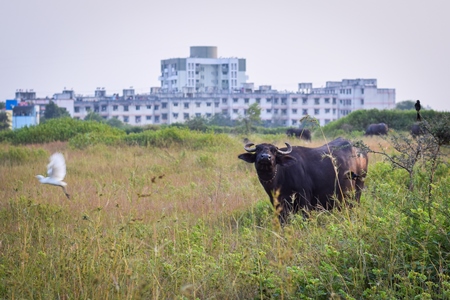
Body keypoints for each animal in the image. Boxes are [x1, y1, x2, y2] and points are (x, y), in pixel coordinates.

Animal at [237, 137, 368, 224]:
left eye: (273, 151)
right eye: (258, 150)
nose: (265, 157)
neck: (280, 178)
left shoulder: (305, 199)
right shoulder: (278, 205)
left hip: (358, 188)